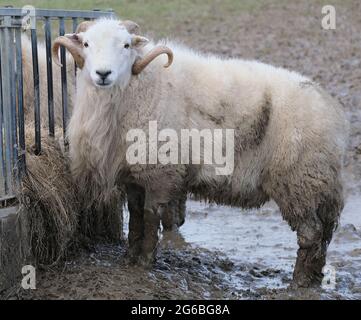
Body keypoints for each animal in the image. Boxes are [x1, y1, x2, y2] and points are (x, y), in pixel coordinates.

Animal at [52, 18, 348, 288]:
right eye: (87, 44)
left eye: (125, 45)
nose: (103, 73)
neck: (139, 87)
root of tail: (329, 109)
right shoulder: (135, 175)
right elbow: (135, 216)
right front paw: (129, 258)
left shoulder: (160, 170)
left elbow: (150, 216)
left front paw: (145, 261)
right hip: (314, 183)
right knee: (322, 235)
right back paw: (314, 278)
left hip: (299, 180)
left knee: (311, 234)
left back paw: (299, 282)